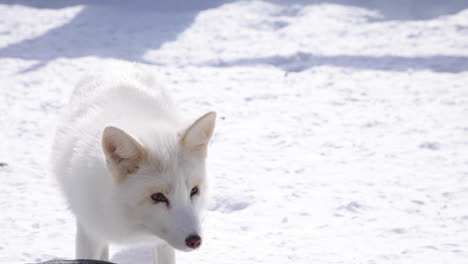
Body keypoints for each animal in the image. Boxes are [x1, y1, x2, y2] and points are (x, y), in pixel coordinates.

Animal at [52, 63, 217, 262]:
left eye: (194, 191)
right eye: (157, 197)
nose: (195, 240)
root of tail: (115, 63)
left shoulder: (162, 243)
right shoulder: (88, 231)